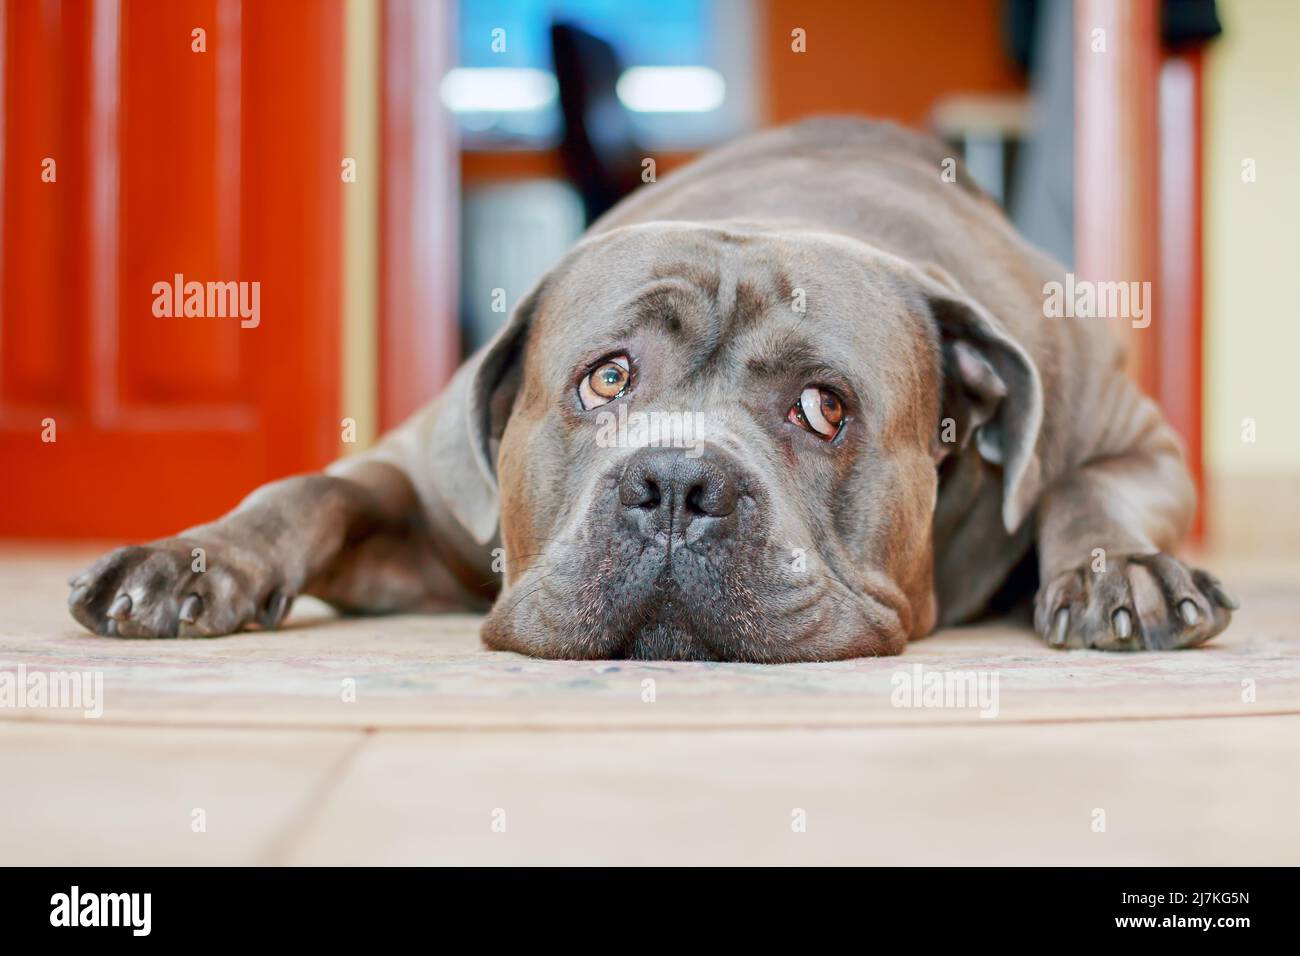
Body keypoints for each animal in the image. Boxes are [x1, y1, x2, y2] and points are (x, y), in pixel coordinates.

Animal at [67, 118, 1237, 661]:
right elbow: (314, 487)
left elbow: (1090, 488)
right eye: (608, 377)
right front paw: (194, 558)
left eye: (825, 407)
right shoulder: (419, 479)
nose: (675, 483)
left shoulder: (1131, 436)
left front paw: (1120, 571)